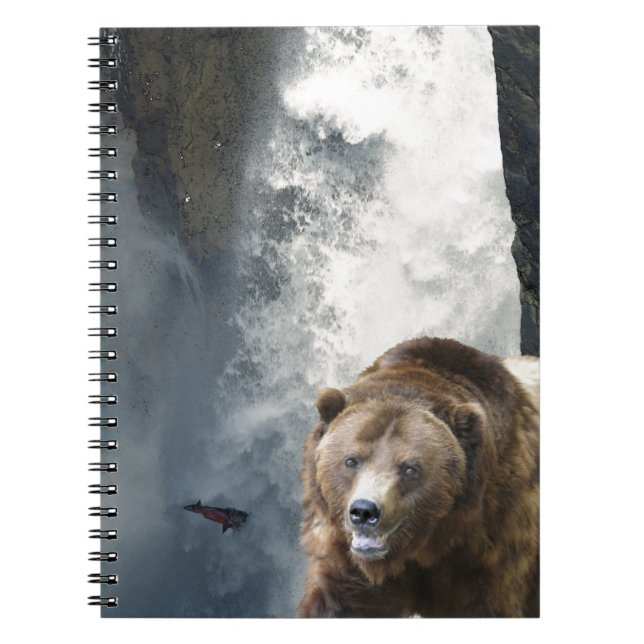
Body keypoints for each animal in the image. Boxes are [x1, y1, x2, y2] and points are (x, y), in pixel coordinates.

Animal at [299, 337, 539, 618]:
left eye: (410, 468)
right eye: (352, 460)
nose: (365, 511)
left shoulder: (491, 541)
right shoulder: (342, 546)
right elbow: (340, 600)